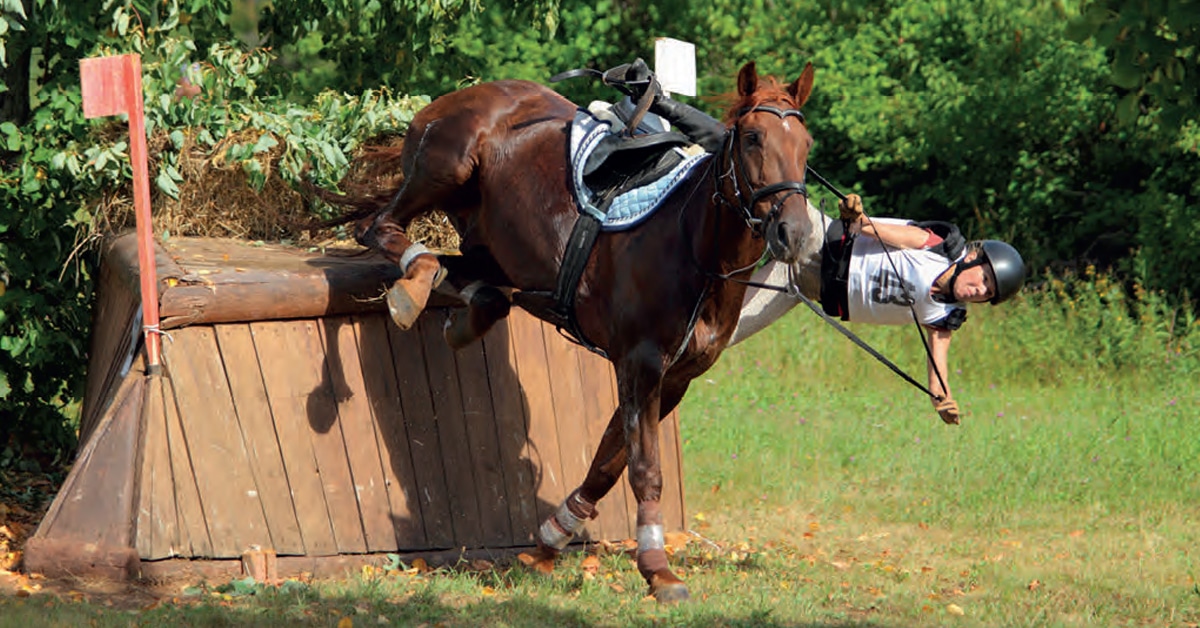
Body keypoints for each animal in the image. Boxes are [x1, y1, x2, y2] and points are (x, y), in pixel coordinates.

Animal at [319, 61, 818, 602]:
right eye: (752, 138)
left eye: (805, 144)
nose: (794, 233)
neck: (694, 249)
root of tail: (457, 95)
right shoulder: (640, 364)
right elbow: (644, 469)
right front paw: (657, 569)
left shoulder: (674, 378)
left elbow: (607, 464)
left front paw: (551, 541)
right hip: (445, 169)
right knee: (378, 226)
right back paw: (412, 285)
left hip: (489, 244)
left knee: (479, 285)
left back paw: (462, 311)